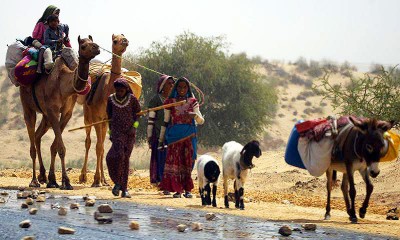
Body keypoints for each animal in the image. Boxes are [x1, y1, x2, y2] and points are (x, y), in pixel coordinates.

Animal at [20, 35, 101, 189]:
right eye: (83, 46)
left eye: (92, 41)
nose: (97, 47)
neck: (64, 84)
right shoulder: (53, 110)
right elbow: (61, 148)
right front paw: (66, 181)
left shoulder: (66, 113)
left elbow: (55, 146)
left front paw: (53, 180)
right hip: (27, 105)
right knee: (32, 140)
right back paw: (34, 181)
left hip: (45, 115)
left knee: (37, 135)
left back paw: (43, 176)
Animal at [77, 34, 128, 188]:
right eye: (115, 41)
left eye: (124, 37)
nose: (125, 41)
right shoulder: (97, 118)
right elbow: (97, 146)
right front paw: (95, 180)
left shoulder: (107, 119)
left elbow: (102, 147)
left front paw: (101, 179)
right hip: (87, 117)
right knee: (88, 142)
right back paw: (83, 177)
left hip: (103, 122)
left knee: (101, 145)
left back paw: (104, 180)